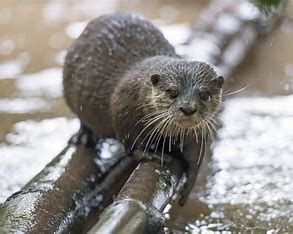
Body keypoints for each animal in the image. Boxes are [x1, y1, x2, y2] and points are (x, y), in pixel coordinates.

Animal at [62, 13, 222, 206]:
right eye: (173, 92)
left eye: (204, 94)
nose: (188, 108)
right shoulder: (123, 109)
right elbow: (130, 142)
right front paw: (150, 154)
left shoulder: (196, 133)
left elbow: (195, 156)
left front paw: (188, 186)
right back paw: (83, 137)